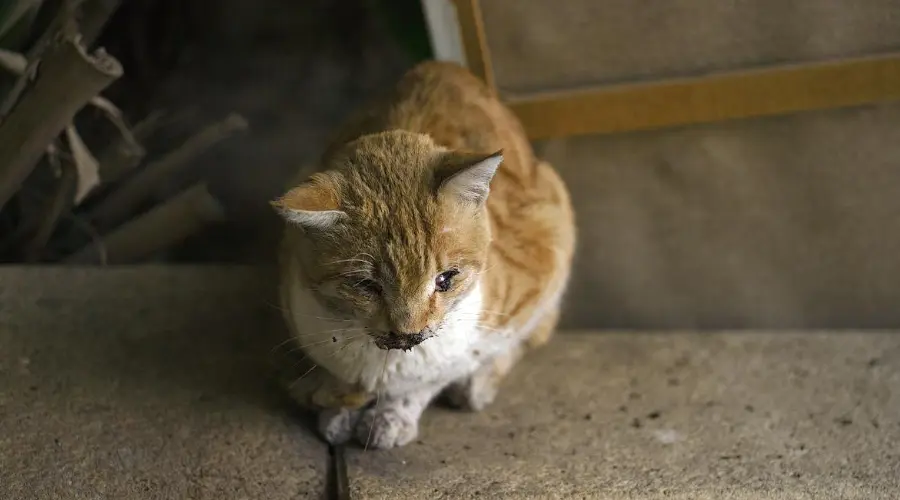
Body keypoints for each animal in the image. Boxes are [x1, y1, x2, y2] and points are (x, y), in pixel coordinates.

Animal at [270, 60, 576, 448]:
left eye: (446, 279)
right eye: (366, 285)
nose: (409, 333)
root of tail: (444, 64)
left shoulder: (529, 283)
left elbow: (436, 375)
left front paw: (392, 415)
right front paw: (339, 410)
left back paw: (475, 387)